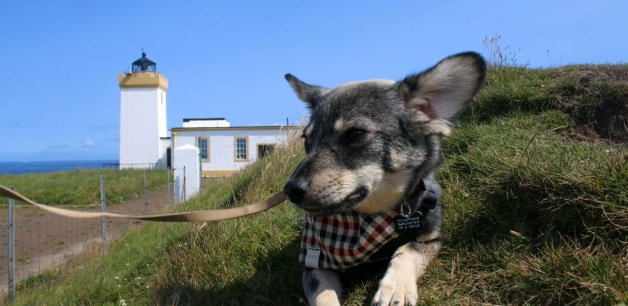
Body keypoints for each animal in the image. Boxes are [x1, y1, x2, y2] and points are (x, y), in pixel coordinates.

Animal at [282, 52, 488, 306]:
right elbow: (324, 298)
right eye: (306, 139)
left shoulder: (431, 239)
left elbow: (406, 250)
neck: (369, 220)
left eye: (355, 133)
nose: (290, 190)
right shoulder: (315, 263)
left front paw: (395, 288)